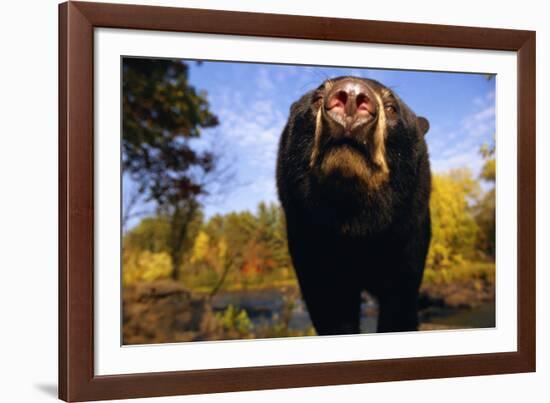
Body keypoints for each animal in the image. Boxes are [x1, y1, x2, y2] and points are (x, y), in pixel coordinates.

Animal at [278, 76, 434, 334]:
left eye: (391, 108)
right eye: (317, 98)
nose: (351, 95)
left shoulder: (408, 233)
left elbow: (400, 301)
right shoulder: (307, 236)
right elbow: (330, 305)